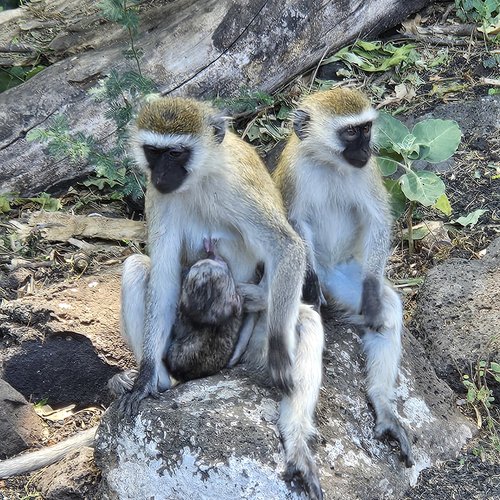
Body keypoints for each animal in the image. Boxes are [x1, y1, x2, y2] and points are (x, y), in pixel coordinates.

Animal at [119, 95, 326, 498]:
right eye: (154, 152)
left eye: (177, 153)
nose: (161, 176)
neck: (200, 178)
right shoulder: (158, 198)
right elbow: (163, 276)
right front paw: (145, 376)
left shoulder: (238, 189)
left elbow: (287, 247)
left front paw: (281, 354)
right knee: (137, 267)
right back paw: (161, 382)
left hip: (251, 350)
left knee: (306, 320)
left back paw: (296, 446)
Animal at [274, 88, 414, 466]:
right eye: (350, 133)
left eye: (366, 129)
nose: (365, 150)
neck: (328, 163)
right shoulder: (294, 173)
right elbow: (295, 223)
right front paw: (308, 281)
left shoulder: (368, 172)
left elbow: (379, 219)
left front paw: (372, 294)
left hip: (342, 274)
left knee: (387, 309)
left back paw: (382, 403)